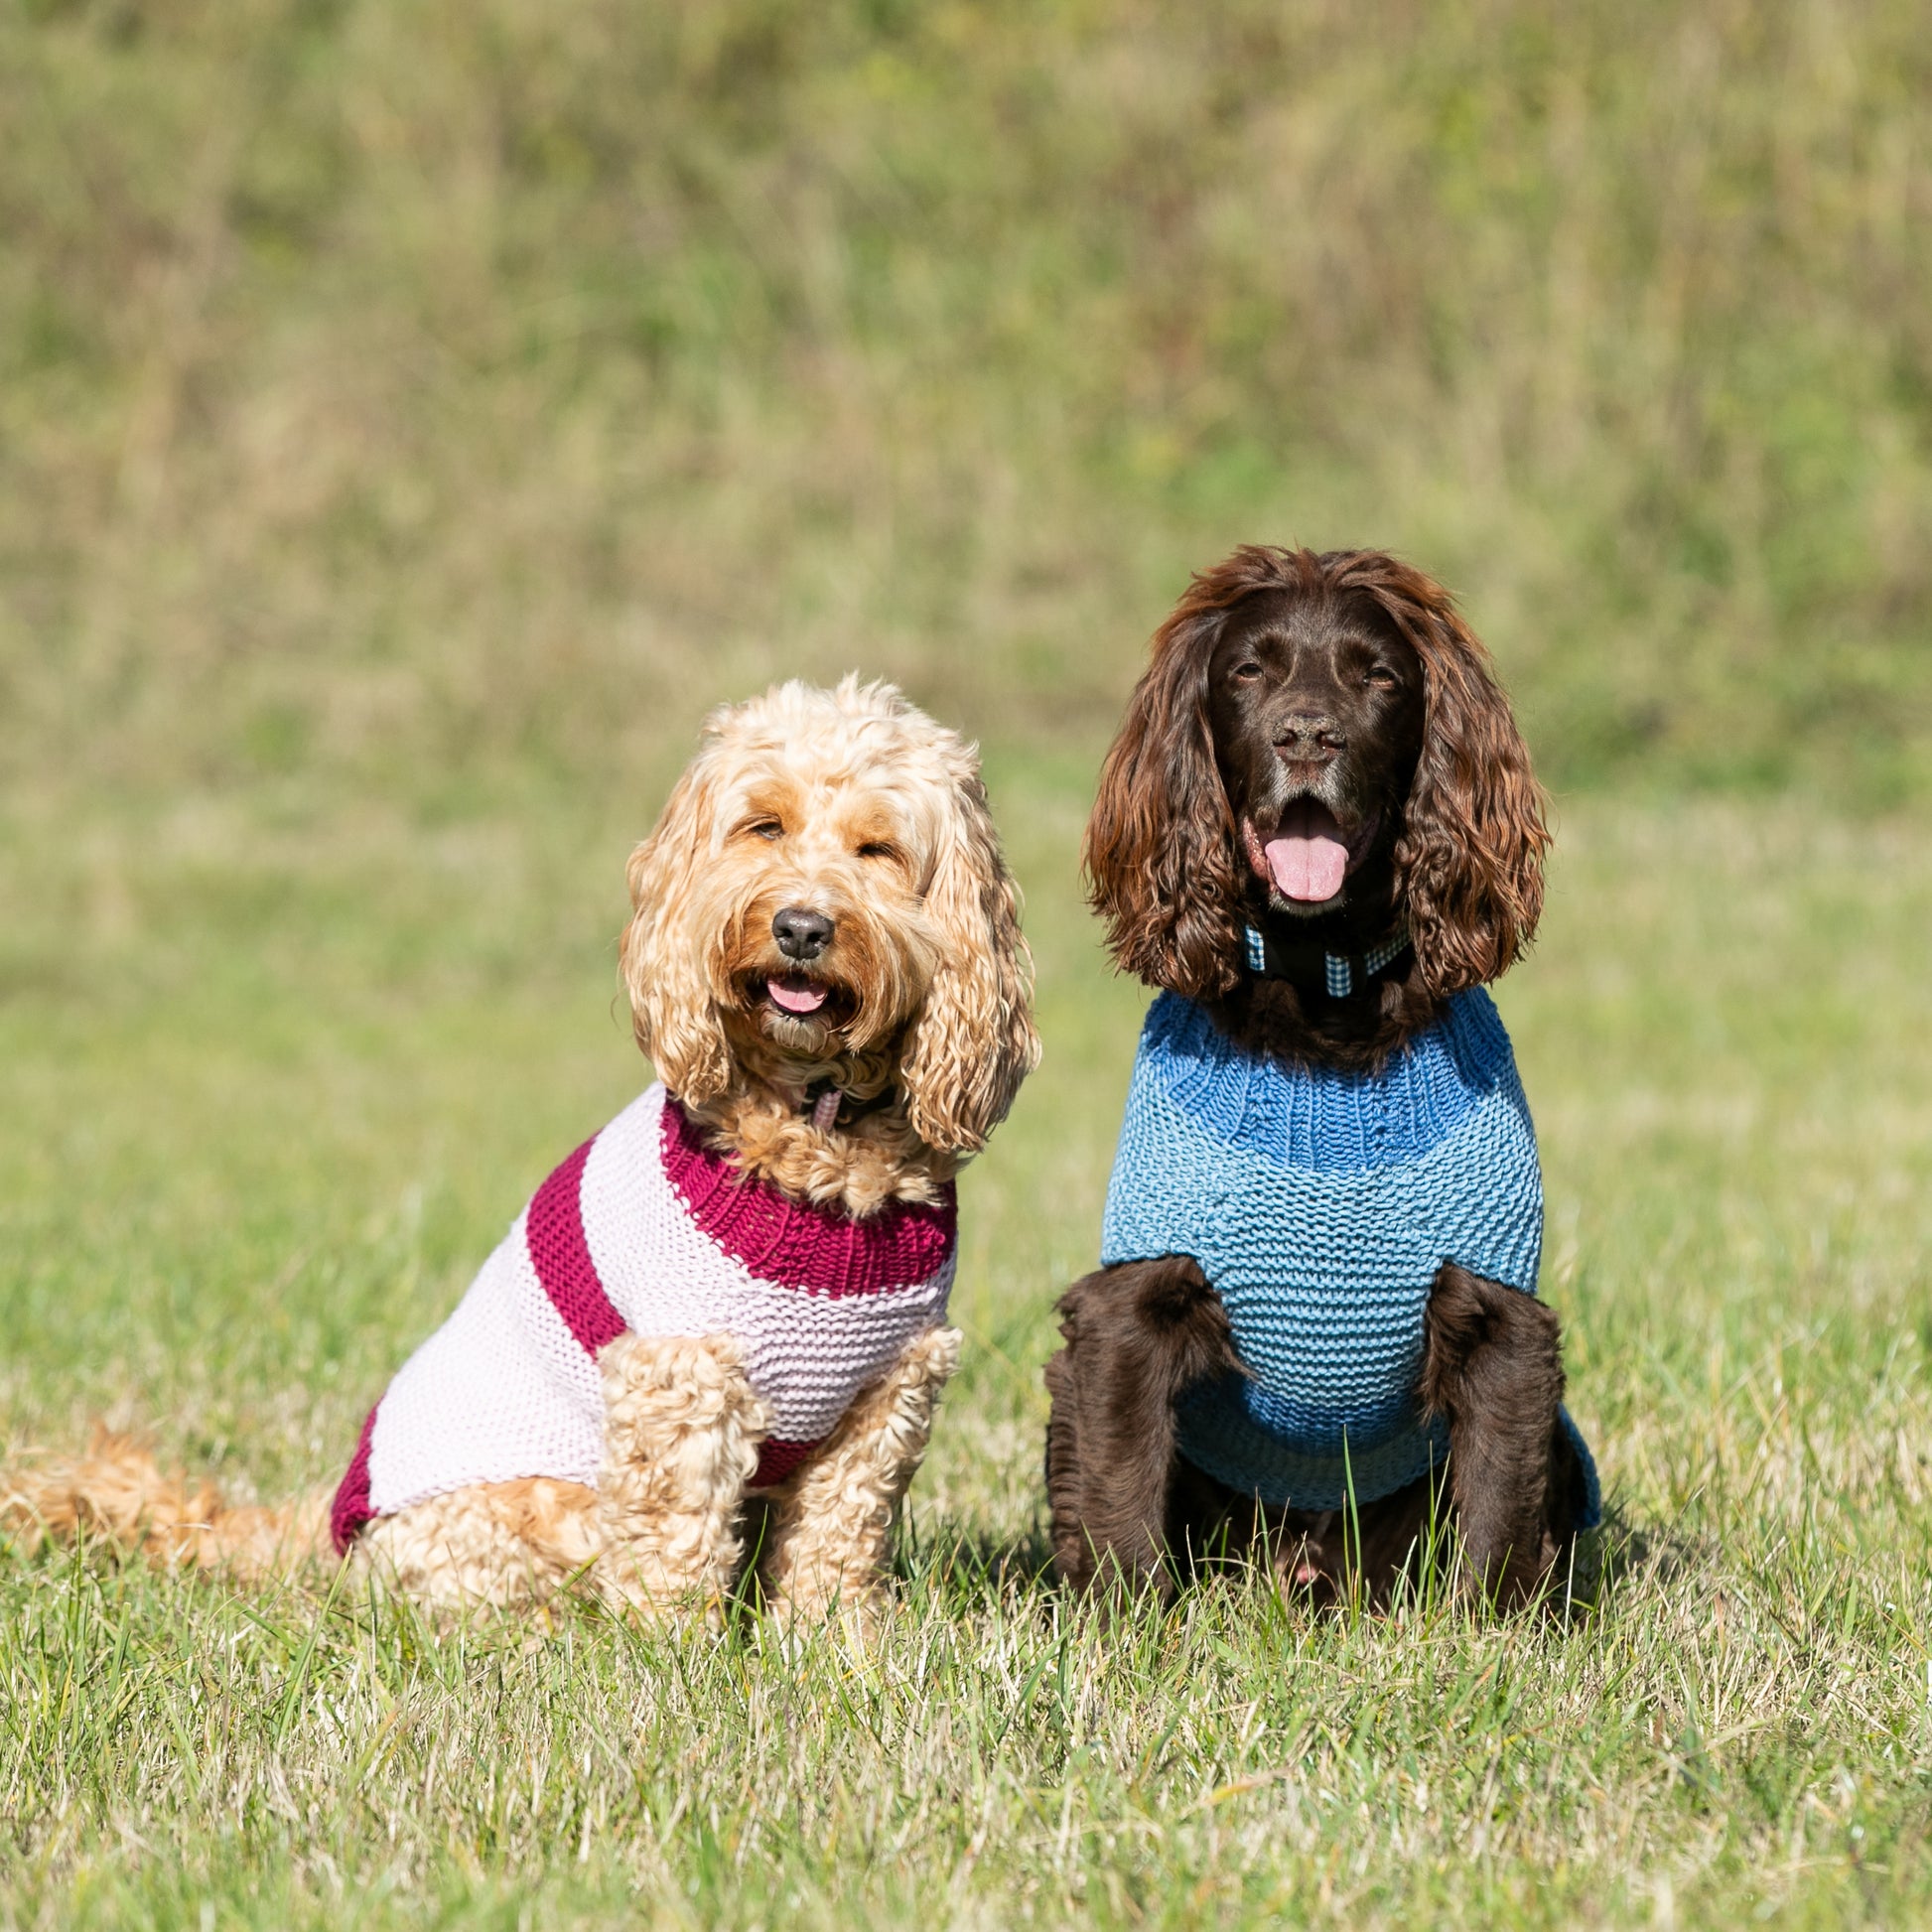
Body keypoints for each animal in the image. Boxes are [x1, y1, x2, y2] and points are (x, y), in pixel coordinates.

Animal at [7, 683, 1042, 1630]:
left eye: (879, 851)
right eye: (764, 826)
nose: (800, 927)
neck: (814, 1123)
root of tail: (328, 1532)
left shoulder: (889, 1391)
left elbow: (839, 1540)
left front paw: (835, 1645)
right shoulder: (682, 1379)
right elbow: (674, 1547)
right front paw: (683, 1661)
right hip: (533, 1505)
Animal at [1050, 548, 1591, 1614]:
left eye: (1376, 676)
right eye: (1248, 673)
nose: (1307, 736)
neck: (1326, 994)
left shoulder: (1506, 1321)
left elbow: (1499, 1523)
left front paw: (1493, 1638)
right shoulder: (1125, 1315)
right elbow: (1119, 1500)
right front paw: (1125, 1634)